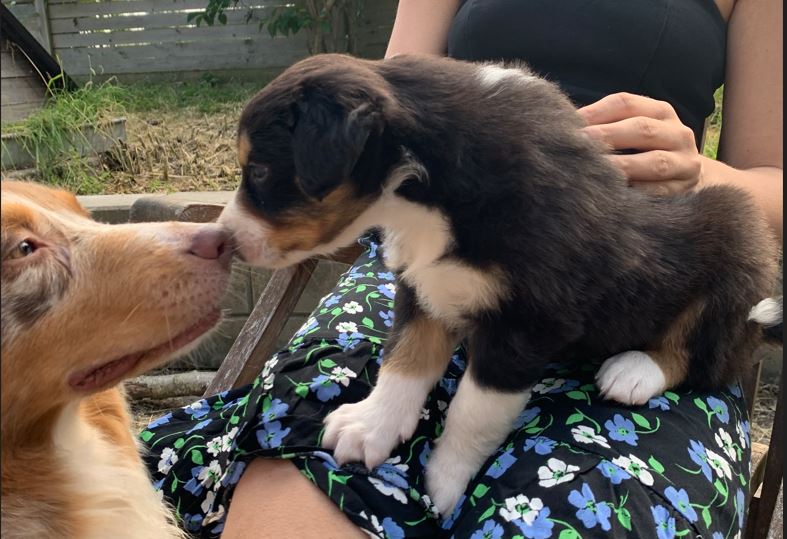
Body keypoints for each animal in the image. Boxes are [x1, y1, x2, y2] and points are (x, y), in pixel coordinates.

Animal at [220, 53, 780, 516]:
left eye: (261, 170)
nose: (220, 242)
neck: (429, 194)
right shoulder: (424, 287)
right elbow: (405, 362)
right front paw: (369, 427)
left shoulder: (528, 319)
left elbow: (474, 409)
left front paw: (443, 487)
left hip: (734, 236)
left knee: (705, 355)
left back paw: (634, 371)